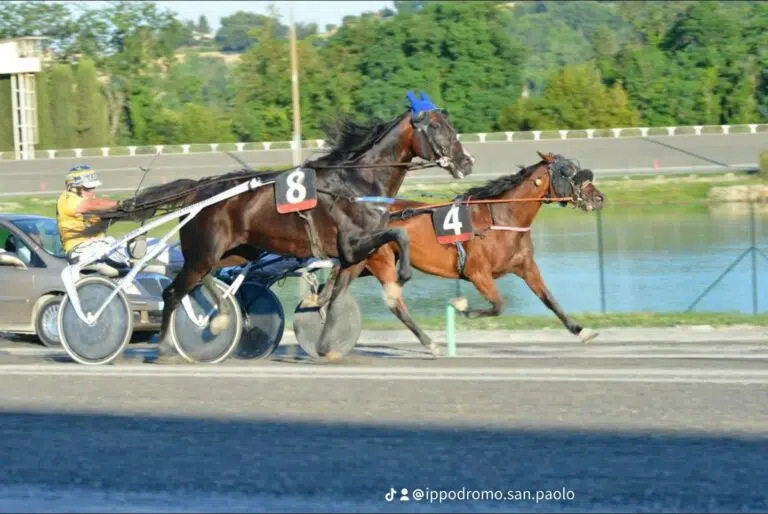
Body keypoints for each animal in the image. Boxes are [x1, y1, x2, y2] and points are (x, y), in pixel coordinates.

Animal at [55, 92, 474, 364]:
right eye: (438, 127)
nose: (467, 162)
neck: (357, 184)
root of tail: (201, 190)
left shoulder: (352, 257)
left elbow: (336, 299)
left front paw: (325, 341)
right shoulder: (354, 244)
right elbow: (398, 236)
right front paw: (403, 273)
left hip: (235, 250)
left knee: (200, 279)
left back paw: (220, 316)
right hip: (204, 250)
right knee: (174, 290)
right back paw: (162, 347)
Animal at [360, 150, 608, 354]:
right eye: (567, 171)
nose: (599, 198)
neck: (501, 219)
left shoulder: (526, 267)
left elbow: (549, 299)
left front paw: (581, 330)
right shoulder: (477, 272)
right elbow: (498, 305)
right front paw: (463, 308)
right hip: (380, 260)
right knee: (396, 304)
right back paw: (429, 343)